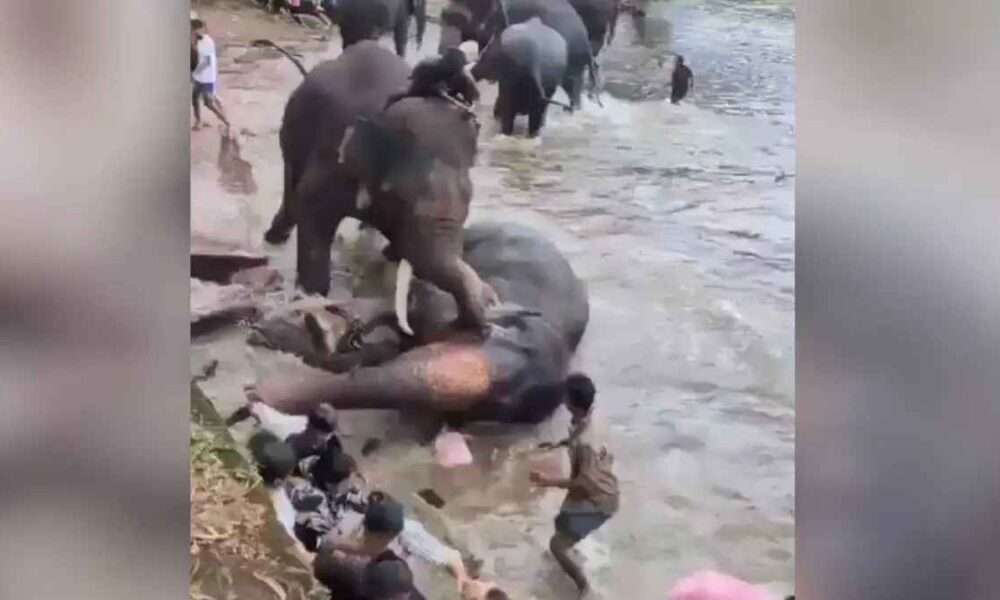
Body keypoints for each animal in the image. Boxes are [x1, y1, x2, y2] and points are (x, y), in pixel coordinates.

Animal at [261, 40, 495, 336]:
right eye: (402, 197)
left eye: (469, 202)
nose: (486, 322)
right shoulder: (333, 159)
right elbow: (312, 209)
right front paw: (312, 297)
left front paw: (391, 253)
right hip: (292, 130)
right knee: (291, 182)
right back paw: (275, 237)